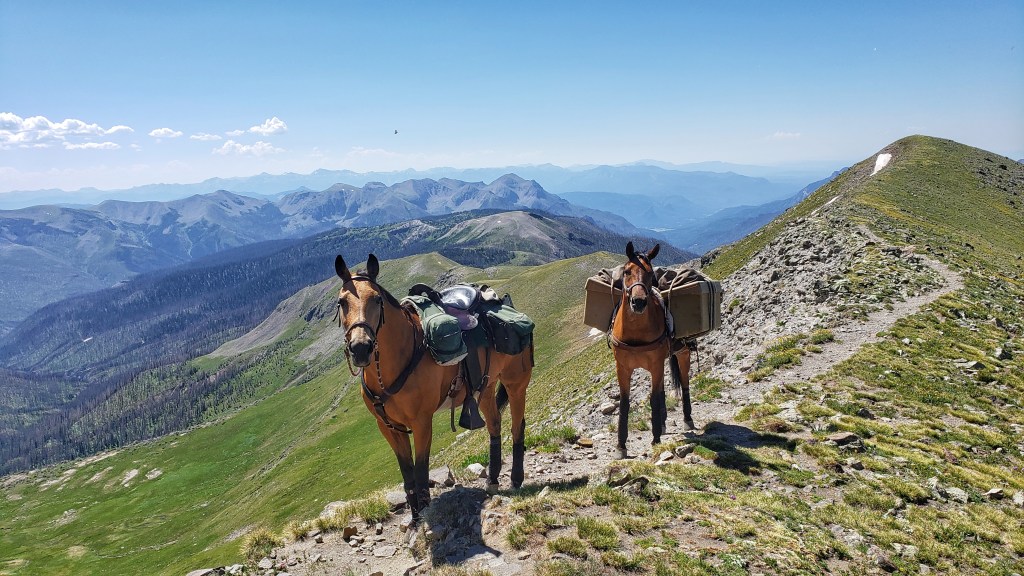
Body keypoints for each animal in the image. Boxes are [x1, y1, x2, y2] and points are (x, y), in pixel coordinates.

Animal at [333, 253, 532, 518]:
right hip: (487, 388)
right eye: (341, 302)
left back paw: (516, 479)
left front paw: (426, 512)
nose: (360, 348)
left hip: (515, 383)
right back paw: (492, 479)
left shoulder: (421, 422)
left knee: (517, 426)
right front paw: (415, 515)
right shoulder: (388, 426)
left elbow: (420, 470)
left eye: (377, 299)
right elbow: (406, 472)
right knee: (494, 426)